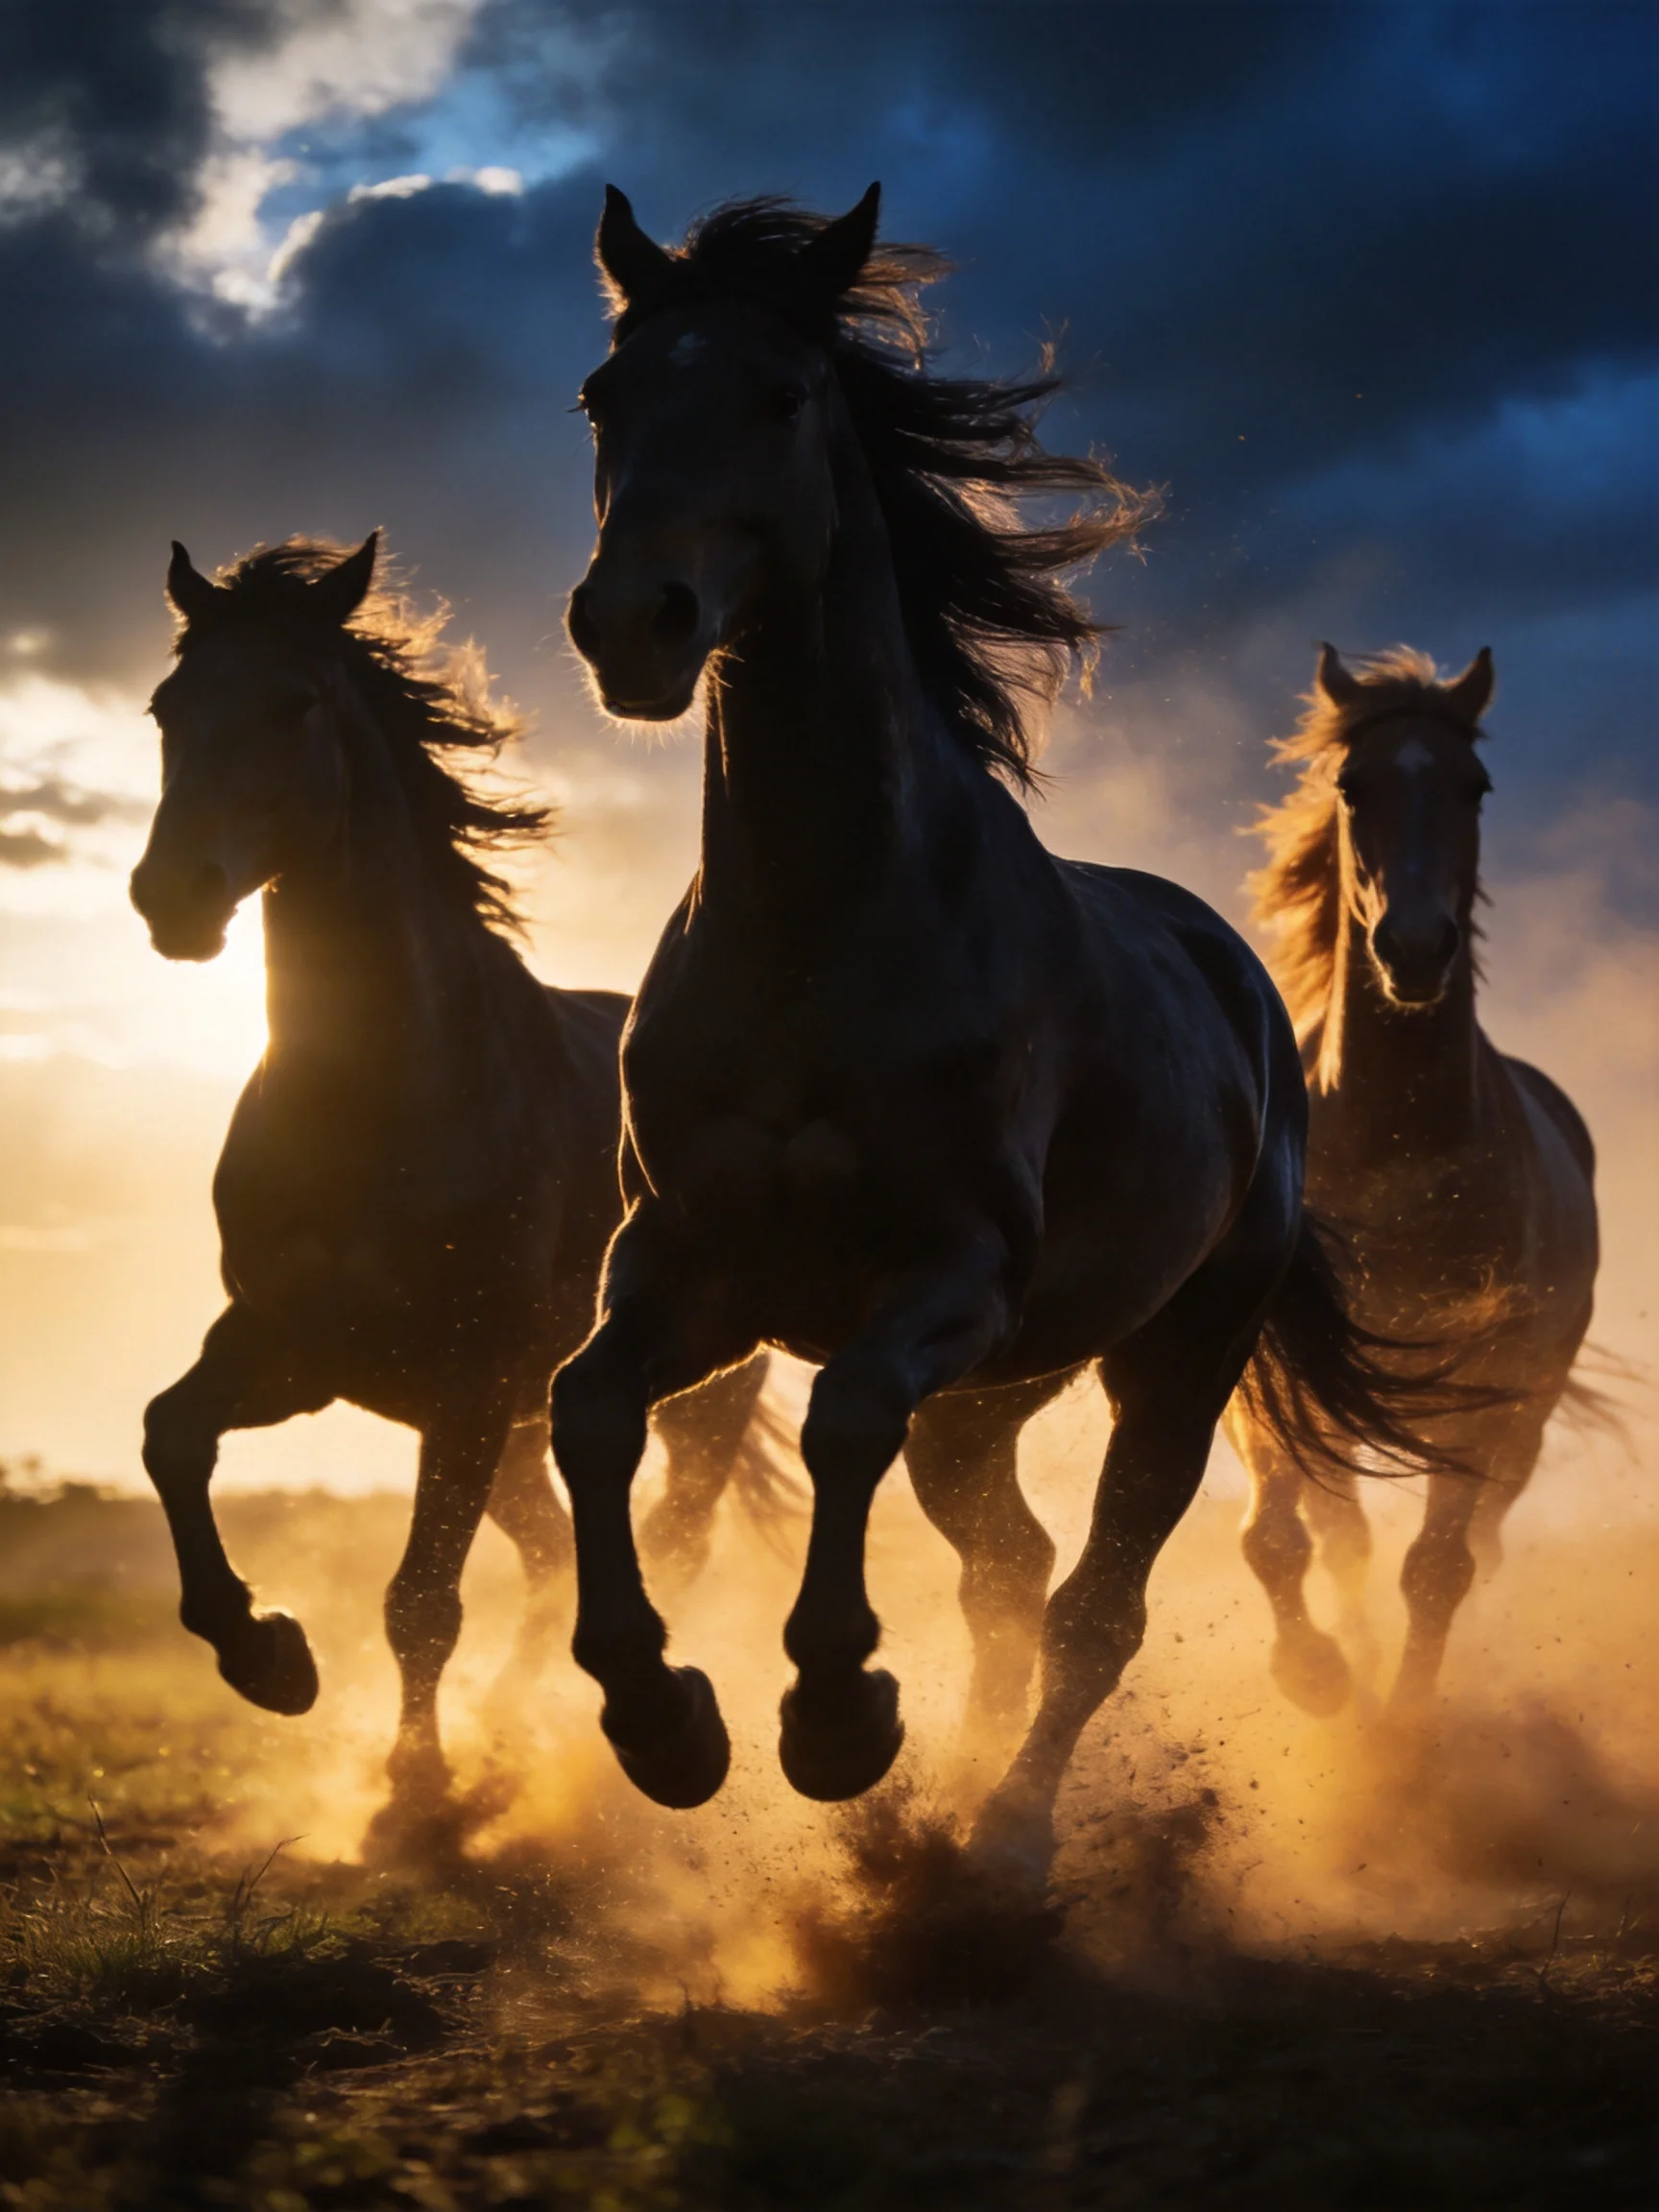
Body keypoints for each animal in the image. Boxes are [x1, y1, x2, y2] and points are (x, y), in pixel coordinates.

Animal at [129, 534, 777, 1825]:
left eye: (296, 703)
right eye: (168, 708)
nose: (172, 897)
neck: (382, 1100)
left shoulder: (467, 1382)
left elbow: (421, 1599)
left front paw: (414, 1789)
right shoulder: (296, 1351)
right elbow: (170, 1436)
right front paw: (267, 1654)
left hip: (686, 1406)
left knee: (664, 1540)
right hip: (512, 1431)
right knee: (546, 1558)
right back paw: (517, 1733)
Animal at [547, 186, 1457, 1875]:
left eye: (782, 392)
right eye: (602, 396)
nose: (635, 624)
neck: (823, 933)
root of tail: (1243, 994)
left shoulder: (946, 1279)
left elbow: (843, 1422)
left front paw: (838, 1716)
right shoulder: (690, 1266)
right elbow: (586, 1411)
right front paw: (665, 1720)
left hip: (1170, 1359)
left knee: (1095, 1605)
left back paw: (1010, 1838)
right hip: (1001, 1395)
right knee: (1013, 1567)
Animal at [1227, 645, 1599, 1719]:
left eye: (1475, 787)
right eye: (1355, 785)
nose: (1416, 948)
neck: (1395, 1146)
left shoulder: (1488, 1385)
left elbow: (1438, 1567)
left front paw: (1400, 1728)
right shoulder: (1274, 1376)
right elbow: (1278, 1539)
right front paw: (1318, 1678)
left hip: (1522, 1418)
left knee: (1476, 1541)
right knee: (1340, 1533)